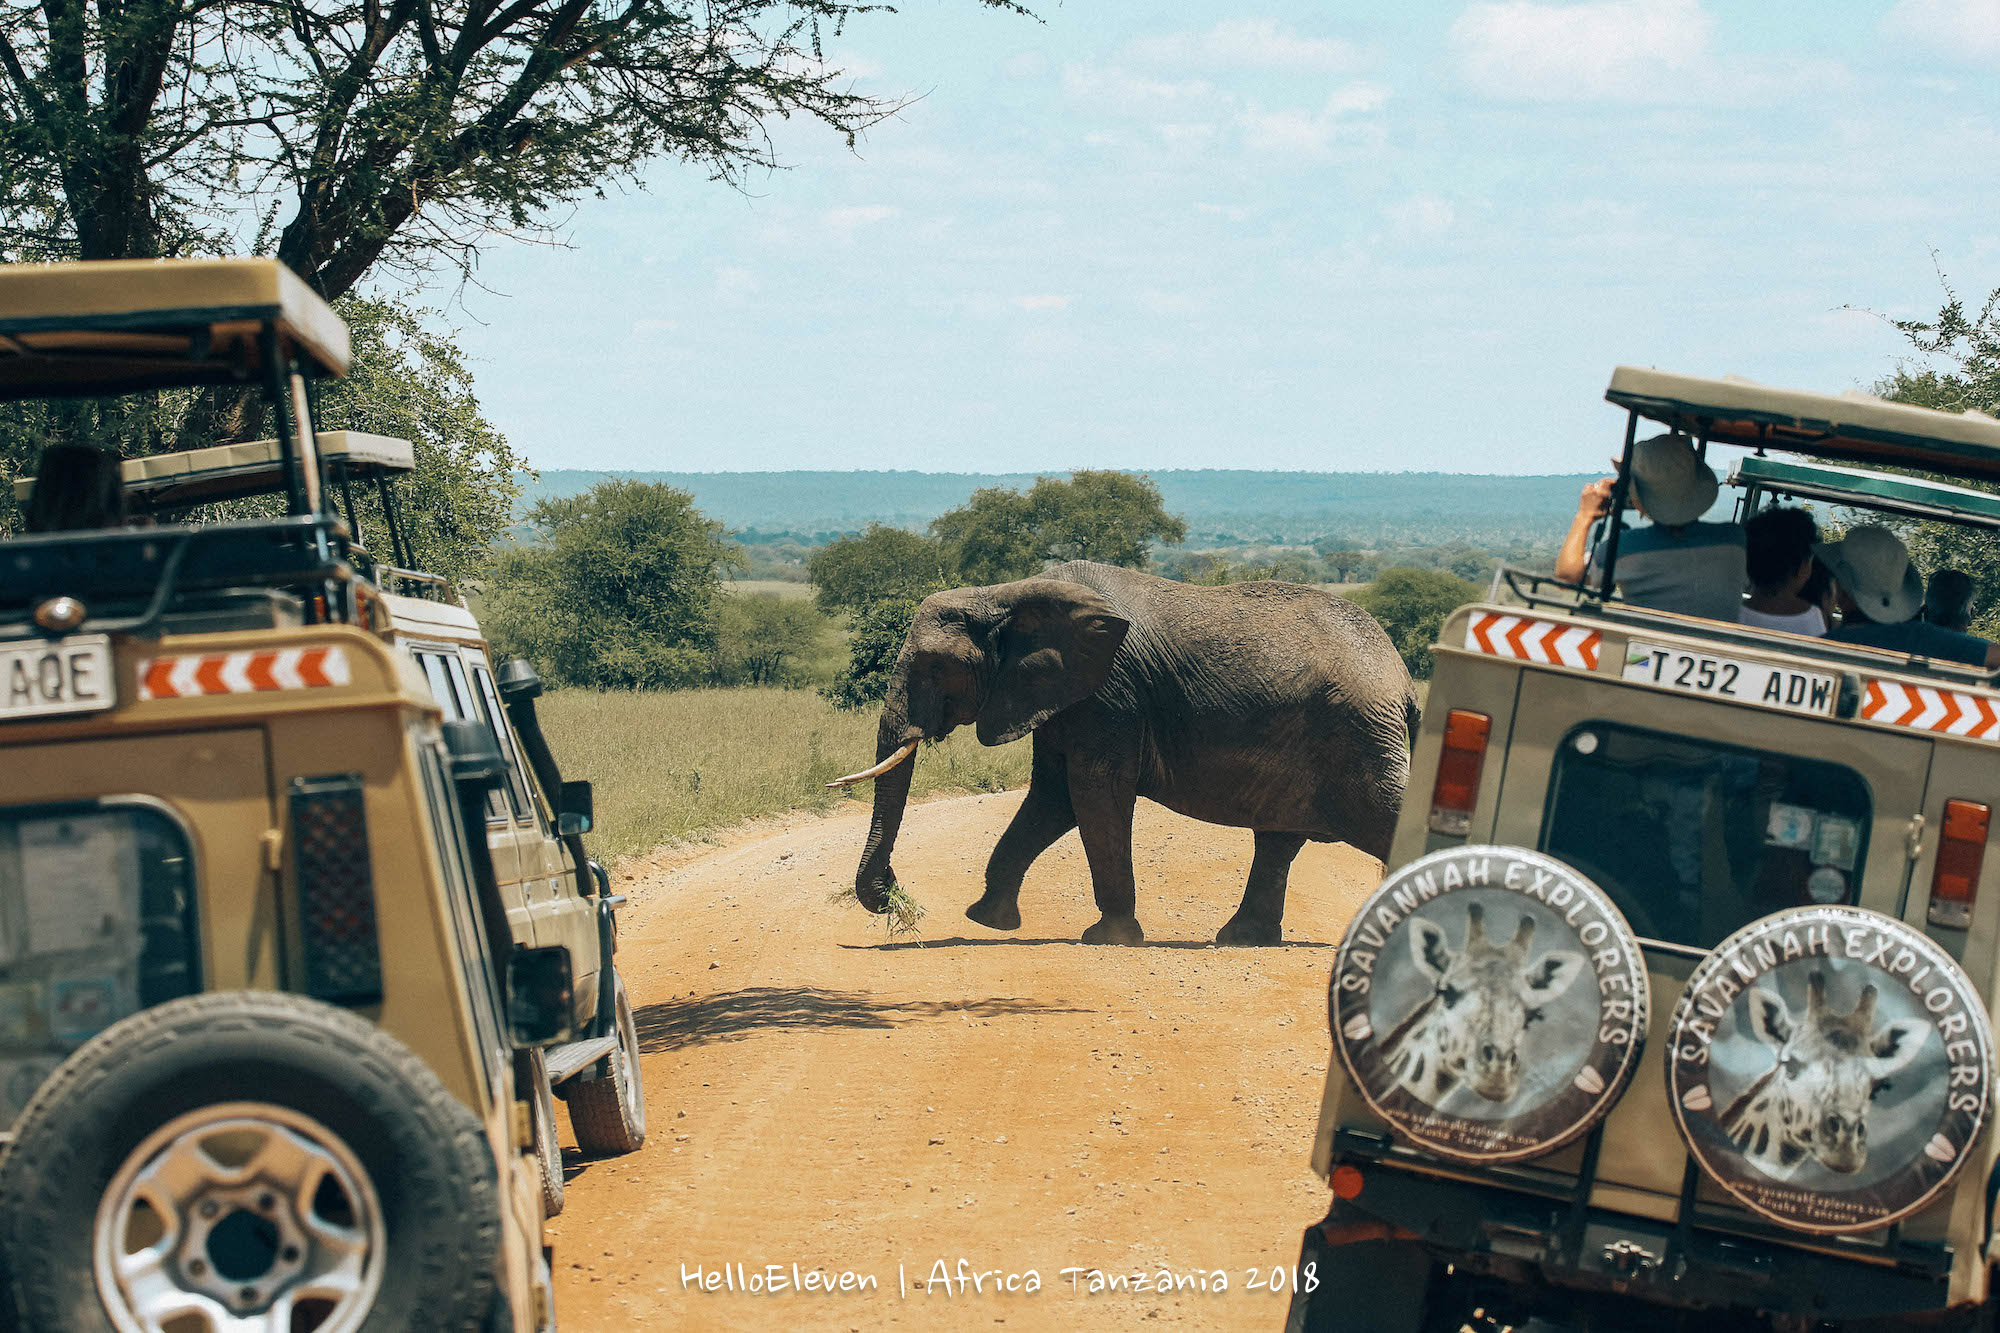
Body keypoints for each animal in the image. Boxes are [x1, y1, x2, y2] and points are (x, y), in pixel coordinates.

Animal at [832, 560, 1424, 944]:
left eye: (936, 667)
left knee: (1382, 818)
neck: (1004, 593)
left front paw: (1108, 937)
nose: (891, 892)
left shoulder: (1110, 692)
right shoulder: (1063, 694)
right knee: (1278, 839)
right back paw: (1240, 940)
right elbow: (1053, 795)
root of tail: (1401, 680)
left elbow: (1093, 792)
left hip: (1357, 736)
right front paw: (986, 920)